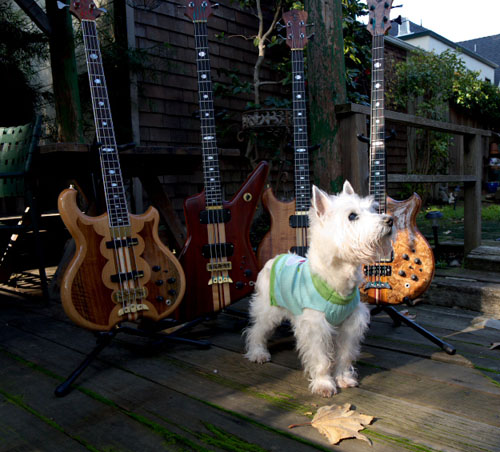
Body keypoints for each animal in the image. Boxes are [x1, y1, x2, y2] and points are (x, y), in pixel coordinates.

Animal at [244, 181, 394, 397]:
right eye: (352, 216)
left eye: (372, 209)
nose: (390, 220)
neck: (337, 279)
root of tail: (276, 258)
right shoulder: (316, 325)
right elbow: (321, 358)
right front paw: (324, 384)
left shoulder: (351, 323)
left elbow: (345, 354)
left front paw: (344, 378)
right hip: (268, 309)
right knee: (256, 330)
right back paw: (258, 353)